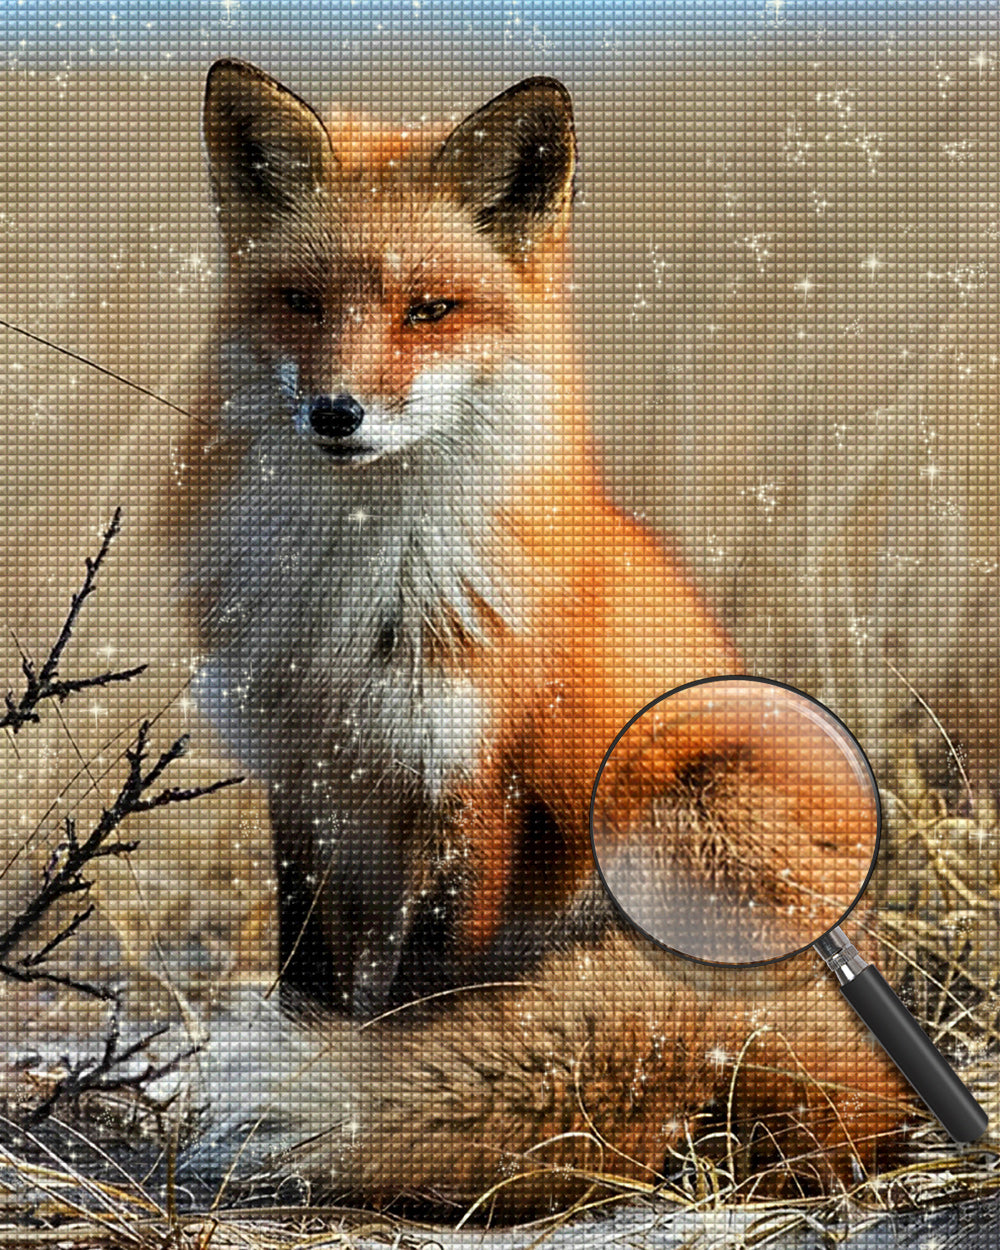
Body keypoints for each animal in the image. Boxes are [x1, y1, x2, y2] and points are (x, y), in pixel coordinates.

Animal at [151, 59, 917, 1215]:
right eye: (301, 302)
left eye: (430, 309)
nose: (336, 413)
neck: (356, 592)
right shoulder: (304, 775)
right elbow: (304, 968)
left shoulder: (479, 785)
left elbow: (429, 996)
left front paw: (378, 1091)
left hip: (677, 805)